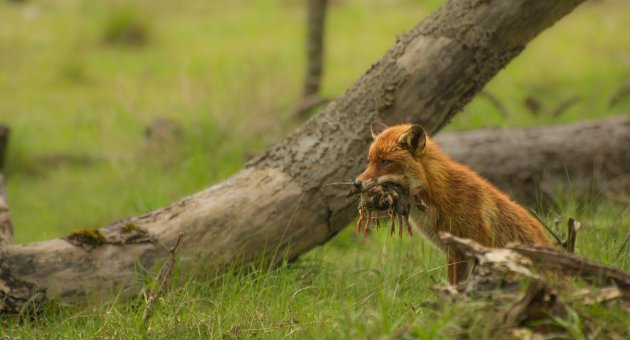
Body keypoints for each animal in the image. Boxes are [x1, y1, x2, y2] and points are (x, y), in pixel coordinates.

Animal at [356, 123, 552, 284]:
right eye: (370, 161)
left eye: (385, 162)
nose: (356, 184)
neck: (439, 193)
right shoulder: (451, 252)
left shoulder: (465, 248)